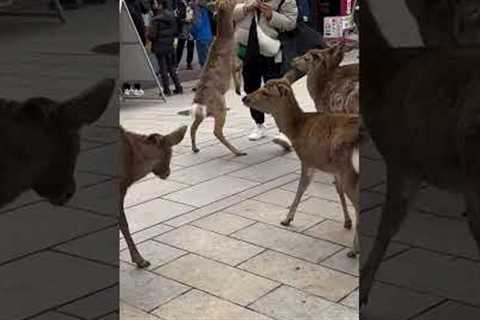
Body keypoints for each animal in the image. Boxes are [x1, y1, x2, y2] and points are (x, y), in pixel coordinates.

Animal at [189, 0, 248, 156]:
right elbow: (239, 68)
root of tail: (200, 104)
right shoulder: (234, 59)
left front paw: (239, 89)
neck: (226, 38)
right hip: (219, 106)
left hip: (201, 114)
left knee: (192, 127)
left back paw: (195, 148)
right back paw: (238, 151)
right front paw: (238, 89)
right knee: (216, 131)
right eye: (229, 2)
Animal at [244, 78, 360, 258]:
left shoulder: (308, 160)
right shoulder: (334, 168)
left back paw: (353, 251)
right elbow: (338, 190)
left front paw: (286, 219)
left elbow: (301, 188)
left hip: (350, 170)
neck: (297, 130)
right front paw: (347, 222)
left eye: (265, 92)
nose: (244, 98)